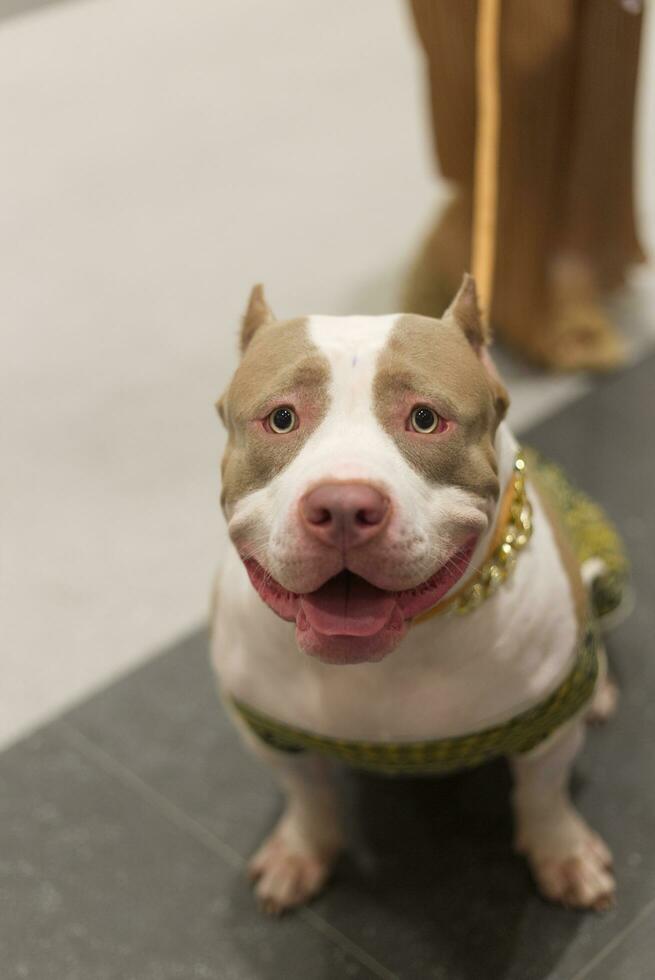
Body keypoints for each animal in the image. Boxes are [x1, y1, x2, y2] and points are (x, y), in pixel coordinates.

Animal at [213, 278, 616, 920]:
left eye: (425, 419)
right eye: (281, 418)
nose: (343, 506)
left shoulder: (548, 726)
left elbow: (544, 793)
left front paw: (563, 854)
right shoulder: (268, 729)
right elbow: (306, 794)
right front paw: (302, 850)